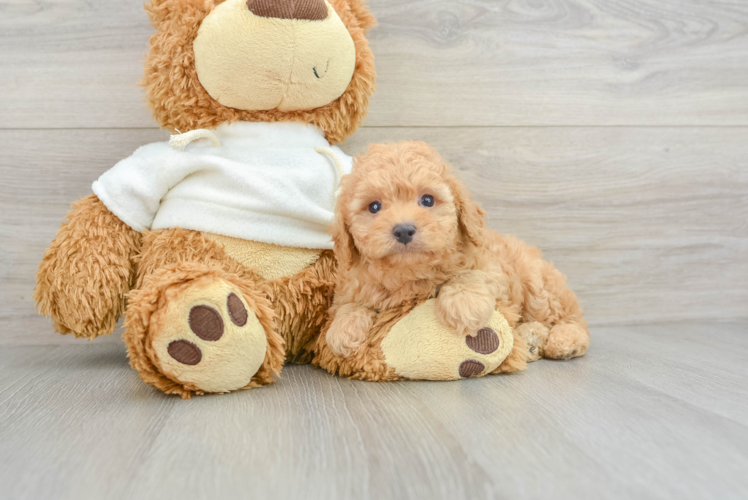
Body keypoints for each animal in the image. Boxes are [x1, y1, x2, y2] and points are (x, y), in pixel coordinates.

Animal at [328, 141, 592, 364]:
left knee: (572, 319)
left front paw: (464, 303)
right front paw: (342, 329)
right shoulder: (352, 284)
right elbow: (349, 304)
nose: (403, 230)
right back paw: (531, 339)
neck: (411, 274)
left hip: (539, 287)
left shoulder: (492, 267)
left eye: (427, 200)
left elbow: (468, 275)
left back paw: (563, 340)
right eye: (374, 207)